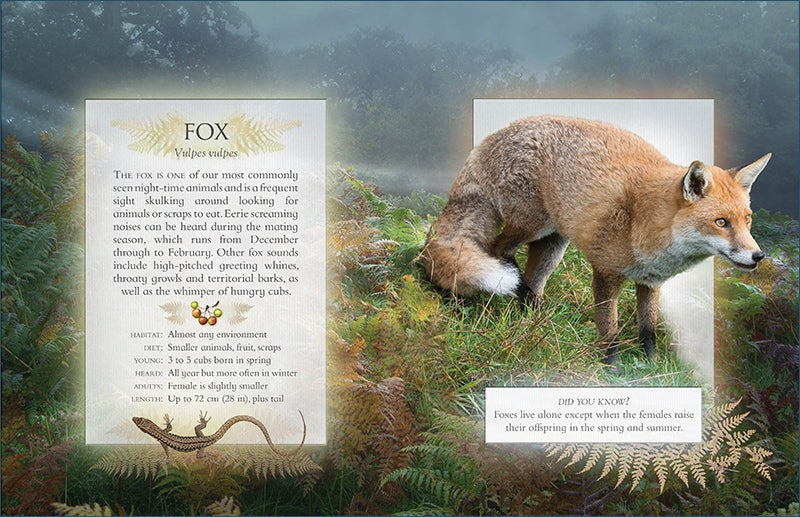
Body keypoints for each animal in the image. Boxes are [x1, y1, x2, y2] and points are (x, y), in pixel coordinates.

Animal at [423, 115, 770, 363]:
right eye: (721, 223)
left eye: (747, 220)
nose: (758, 257)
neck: (643, 221)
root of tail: (488, 139)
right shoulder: (605, 272)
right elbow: (610, 329)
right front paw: (613, 370)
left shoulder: (650, 281)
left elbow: (648, 329)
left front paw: (652, 367)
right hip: (531, 226)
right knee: (497, 251)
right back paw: (516, 291)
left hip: (553, 245)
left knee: (533, 278)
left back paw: (535, 316)